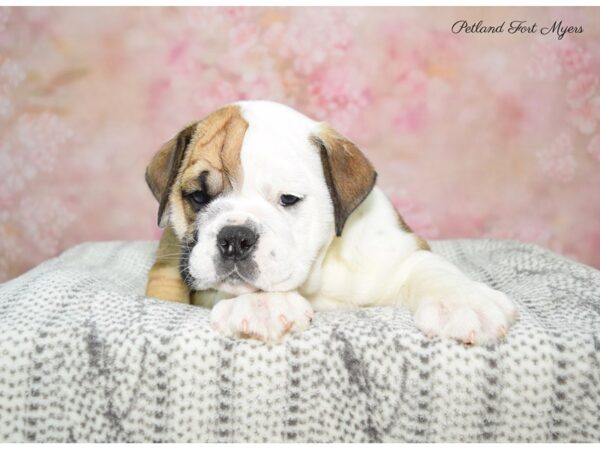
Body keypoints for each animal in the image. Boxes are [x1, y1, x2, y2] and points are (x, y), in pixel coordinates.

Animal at [144, 101, 516, 344]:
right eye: (197, 196)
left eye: (288, 198)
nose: (235, 237)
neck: (319, 273)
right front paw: (262, 304)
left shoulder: (401, 251)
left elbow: (433, 269)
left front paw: (464, 303)